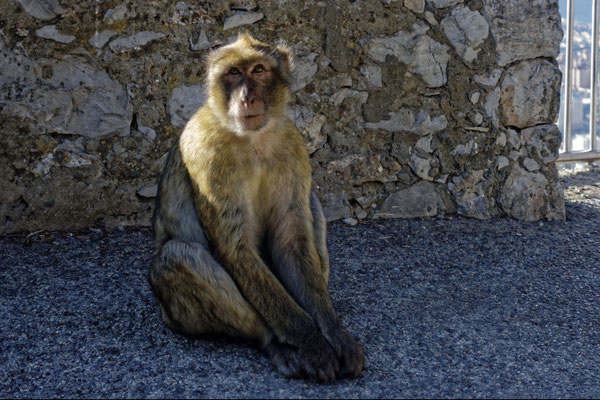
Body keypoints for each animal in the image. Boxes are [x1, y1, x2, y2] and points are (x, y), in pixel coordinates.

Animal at [150, 33, 366, 382]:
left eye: (259, 70)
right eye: (234, 73)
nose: (246, 98)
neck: (252, 141)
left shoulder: (293, 146)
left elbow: (292, 240)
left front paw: (336, 334)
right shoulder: (209, 154)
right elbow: (236, 249)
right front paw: (312, 342)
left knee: (311, 202)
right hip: (174, 315)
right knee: (177, 256)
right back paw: (274, 344)